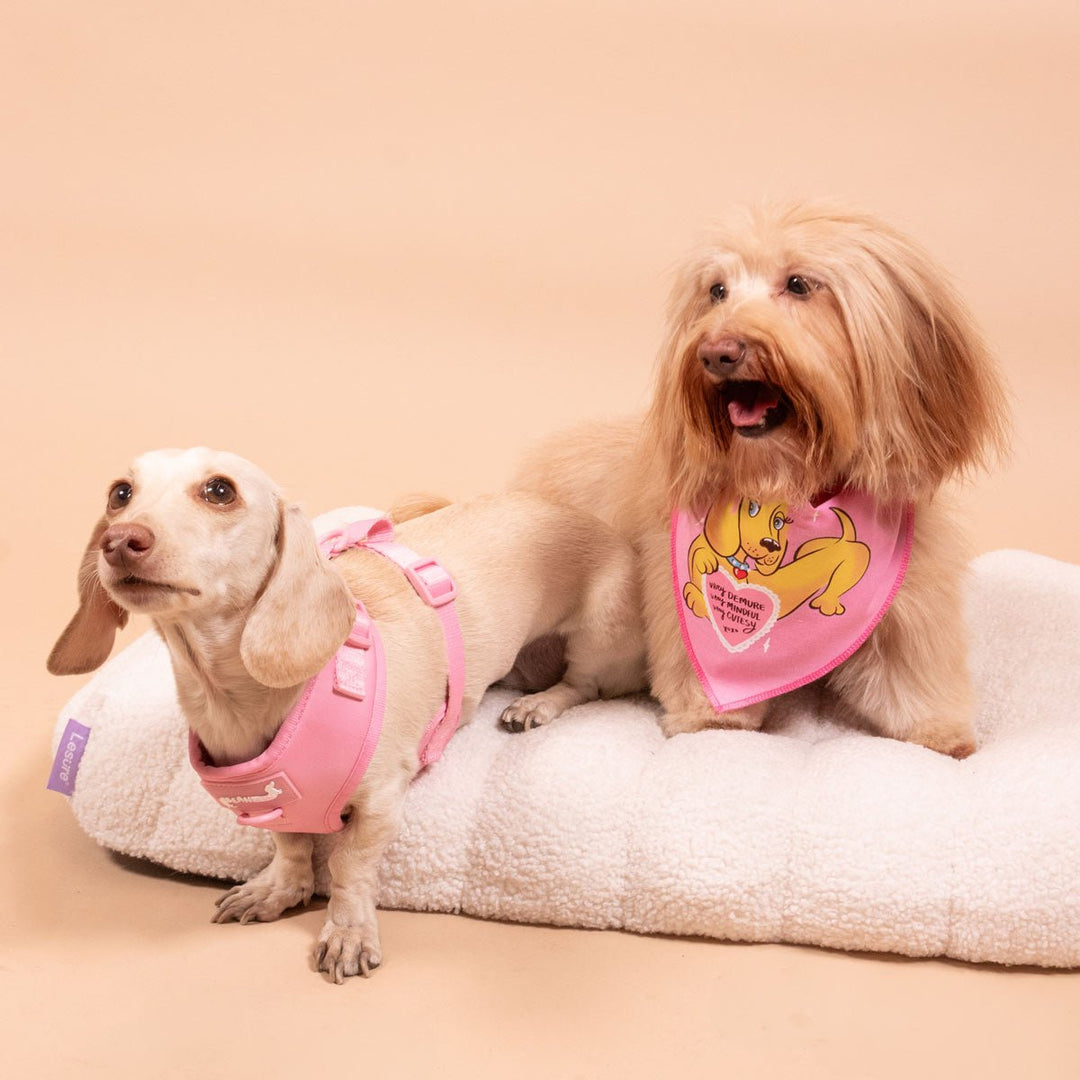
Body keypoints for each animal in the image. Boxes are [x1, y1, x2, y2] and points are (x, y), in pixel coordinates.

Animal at [46, 447, 643, 980]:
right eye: (120, 493)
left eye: (220, 490)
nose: (119, 541)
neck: (239, 696)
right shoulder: (275, 805)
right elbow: (290, 846)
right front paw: (279, 888)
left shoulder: (381, 802)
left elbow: (348, 865)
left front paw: (348, 931)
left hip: (596, 638)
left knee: (583, 685)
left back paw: (539, 704)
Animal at [511, 204, 1002, 760]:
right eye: (717, 291)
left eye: (799, 284)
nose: (715, 351)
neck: (792, 481)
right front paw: (714, 723)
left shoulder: (909, 598)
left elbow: (913, 674)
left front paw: (940, 735)